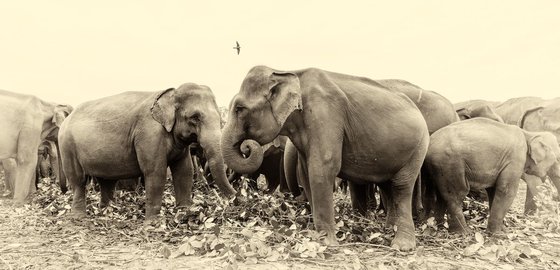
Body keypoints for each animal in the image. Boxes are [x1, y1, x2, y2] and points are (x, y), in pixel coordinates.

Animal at [59, 83, 236, 220]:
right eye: (195, 117)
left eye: (219, 116)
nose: (237, 198)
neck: (171, 94)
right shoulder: (149, 133)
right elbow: (155, 172)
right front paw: (153, 223)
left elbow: (184, 171)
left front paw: (185, 213)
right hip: (67, 145)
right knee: (78, 180)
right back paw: (79, 217)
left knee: (106, 181)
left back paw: (108, 211)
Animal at [222, 66, 428, 251]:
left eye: (240, 109)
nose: (246, 146)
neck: (287, 71)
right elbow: (306, 174)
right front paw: (316, 237)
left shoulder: (325, 114)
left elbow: (322, 168)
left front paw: (327, 244)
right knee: (387, 186)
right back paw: (388, 229)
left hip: (418, 148)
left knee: (401, 187)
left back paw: (402, 246)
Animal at [424, 118, 560, 234]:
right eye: (558, 159)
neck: (529, 134)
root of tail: (429, 143)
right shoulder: (515, 159)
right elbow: (506, 190)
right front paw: (498, 234)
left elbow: (494, 191)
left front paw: (503, 230)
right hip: (450, 163)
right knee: (457, 194)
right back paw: (463, 233)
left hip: (439, 168)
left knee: (442, 194)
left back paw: (439, 226)